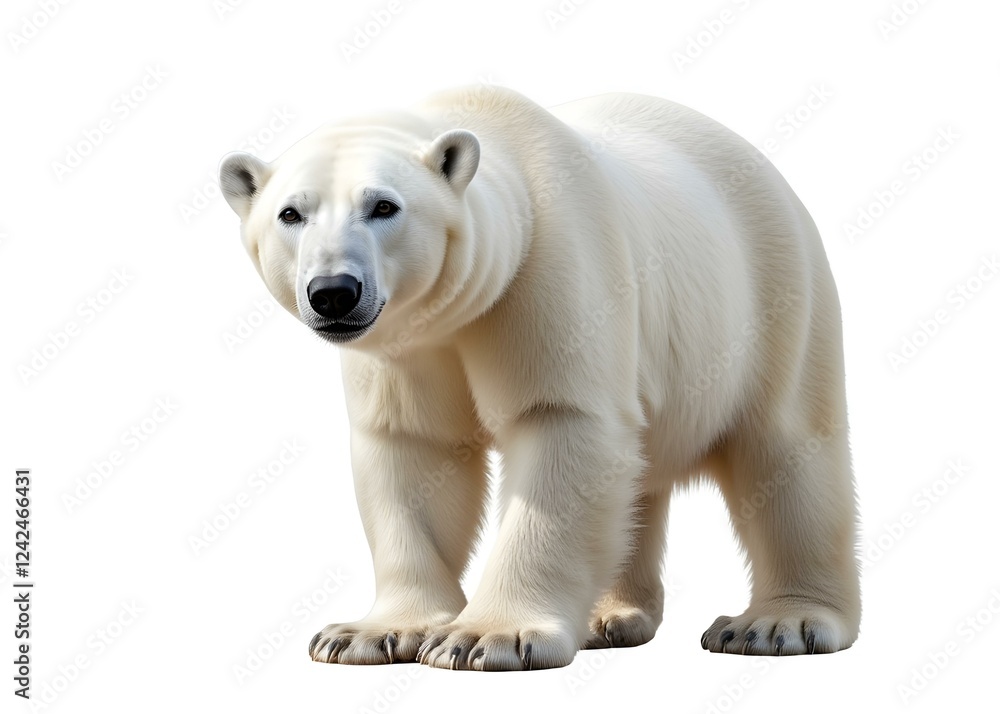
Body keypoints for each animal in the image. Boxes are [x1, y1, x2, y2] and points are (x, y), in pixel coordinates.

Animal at [219, 85, 861, 671]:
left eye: (384, 206)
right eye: (290, 213)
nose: (334, 292)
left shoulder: (546, 273)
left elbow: (562, 425)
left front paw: (485, 637)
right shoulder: (407, 346)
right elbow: (413, 451)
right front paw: (366, 634)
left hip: (772, 297)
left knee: (788, 447)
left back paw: (778, 623)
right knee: (638, 479)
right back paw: (609, 616)